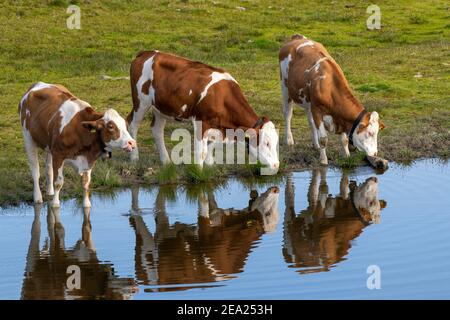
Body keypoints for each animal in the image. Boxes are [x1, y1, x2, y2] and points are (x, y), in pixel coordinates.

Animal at [126, 51, 280, 172]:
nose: (276, 165)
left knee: (157, 130)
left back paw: (166, 161)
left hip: (161, 108)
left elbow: (212, 146)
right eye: (267, 143)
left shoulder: (219, 127)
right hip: (141, 102)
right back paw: (134, 157)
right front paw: (199, 173)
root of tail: (147, 53)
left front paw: (210, 166)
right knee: (133, 124)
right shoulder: (201, 121)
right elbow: (201, 152)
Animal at [280, 35, 384, 165]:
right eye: (370, 133)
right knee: (288, 114)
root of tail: (297, 37)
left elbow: (344, 139)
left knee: (310, 121)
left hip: (308, 101)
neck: (330, 87)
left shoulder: (337, 116)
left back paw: (315, 145)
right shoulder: (317, 110)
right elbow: (324, 139)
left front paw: (347, 156)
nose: (375, 153)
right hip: (285, 87)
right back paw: (289, 140)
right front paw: (323, 160)